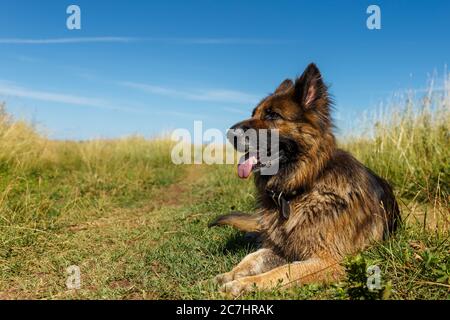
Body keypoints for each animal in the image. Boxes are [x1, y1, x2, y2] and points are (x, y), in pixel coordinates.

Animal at [209, 63, 400, 298]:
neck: (301, 188)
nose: (229, 134)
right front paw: (229, 275)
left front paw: (243, 284)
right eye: (254, 113)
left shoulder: (329, 261)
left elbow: (283, 272)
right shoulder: (282, 247)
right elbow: (253, 257)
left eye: (273, 115)